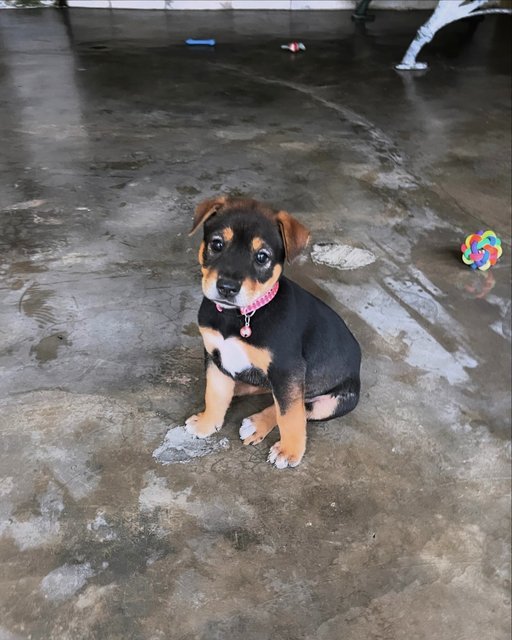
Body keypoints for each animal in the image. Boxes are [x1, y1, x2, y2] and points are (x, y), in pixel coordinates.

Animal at [185, 196, 360, 470]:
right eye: (217, 244)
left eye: (262, 257)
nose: (227, 287)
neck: (241, 315)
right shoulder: (215, 356)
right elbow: (214, 393)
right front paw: (207, 423)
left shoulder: (288, 369)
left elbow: (289, 414)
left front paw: (290, 451)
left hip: (336, 401)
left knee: (299, 406)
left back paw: (257, 424)